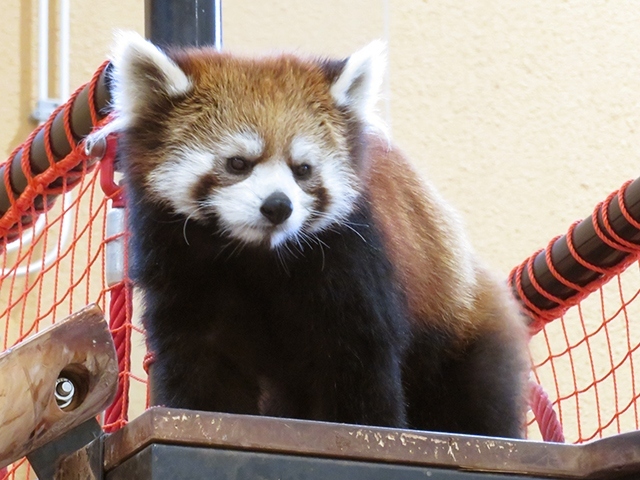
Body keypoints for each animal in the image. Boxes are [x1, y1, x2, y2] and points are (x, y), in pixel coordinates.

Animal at [91, 31, 528, 436]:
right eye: (237, 163)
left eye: (302, 169)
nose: (278, 206)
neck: (256, 256)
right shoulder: (184, 270)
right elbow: (203, 364)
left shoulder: (352, 261)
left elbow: (356, 366)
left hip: (460, 332)